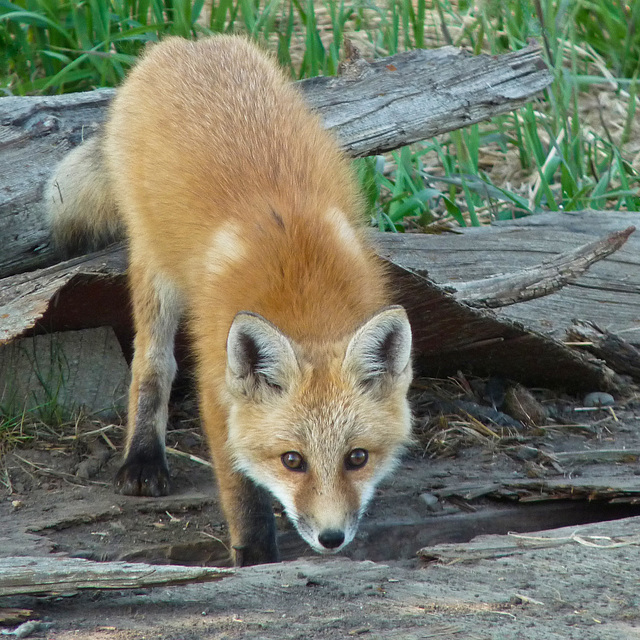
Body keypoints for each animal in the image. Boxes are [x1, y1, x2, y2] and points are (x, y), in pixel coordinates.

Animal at [46, 36, 416, 564]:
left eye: (357, 458)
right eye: (292, 461)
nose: (330, 539)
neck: (304, 295)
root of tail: (184, 44)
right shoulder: (218, 388)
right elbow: (243, 494)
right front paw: (257, 557)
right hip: (154, 268)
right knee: (151, 365)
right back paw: (143, 458)